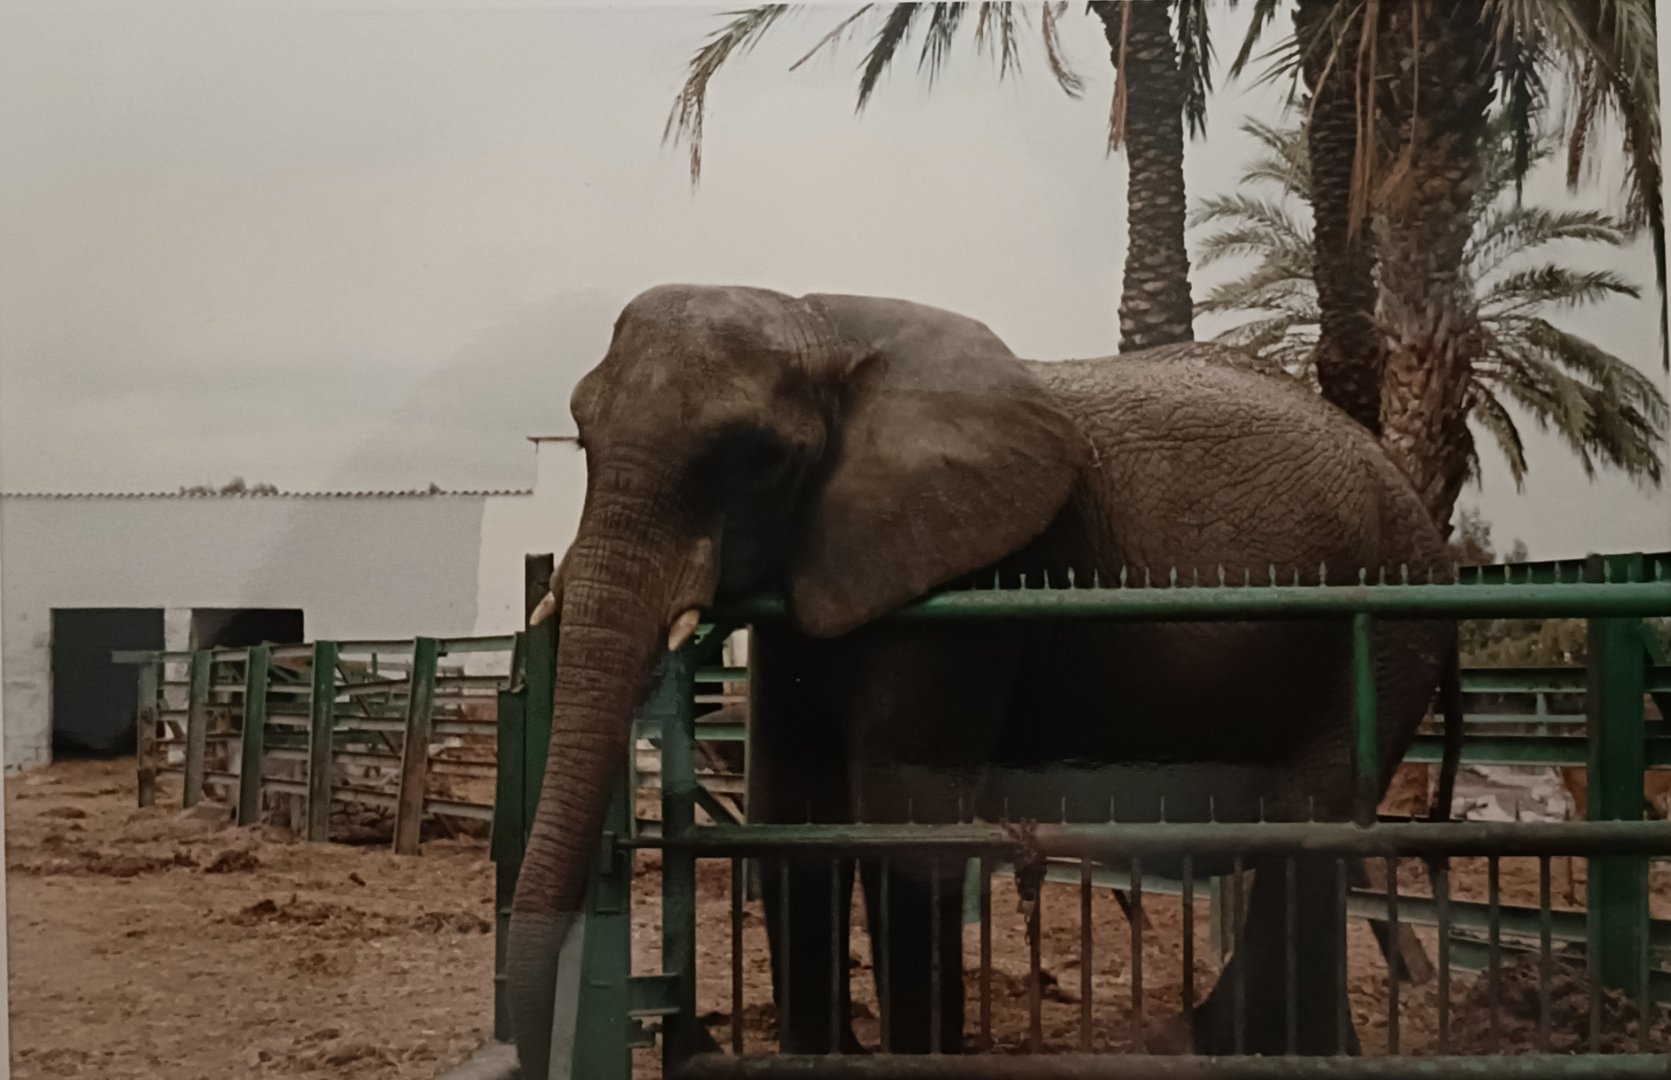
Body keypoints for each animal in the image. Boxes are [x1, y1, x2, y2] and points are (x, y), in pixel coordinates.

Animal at [505, 283, 1457, 1075]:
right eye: (579, 436)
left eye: (757, 455)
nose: (521, 1051)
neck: (825, 326)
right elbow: (792, 806)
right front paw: (818, 1058)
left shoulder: (968, 581)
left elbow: (901, 814)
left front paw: (911, 1059)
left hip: (1380, 629)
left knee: (1305, 828)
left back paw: (1240, 1050)